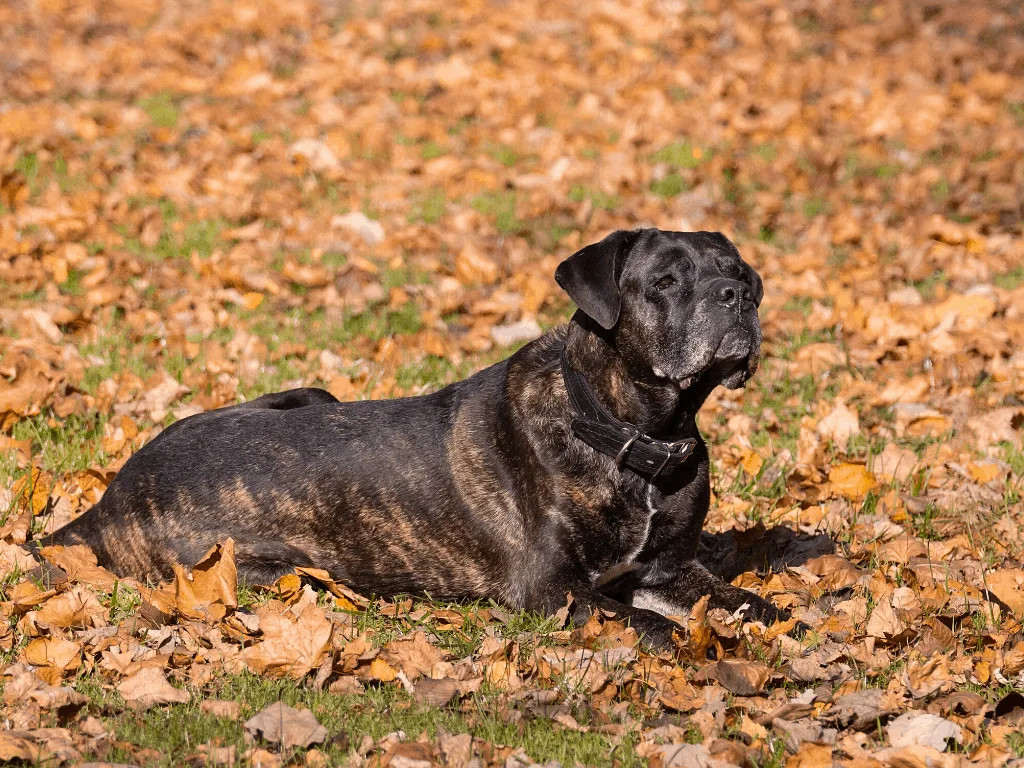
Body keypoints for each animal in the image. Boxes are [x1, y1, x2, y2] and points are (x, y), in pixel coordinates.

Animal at [44, 228, 786, 651]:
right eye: (664, 281)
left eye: (739, 271)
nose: (738, 295)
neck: (635, 435)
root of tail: (109, 501)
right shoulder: (554, 589)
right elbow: (647, 624)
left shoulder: (667, 569)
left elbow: (753, 603)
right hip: (277, 572)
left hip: (312, 391)